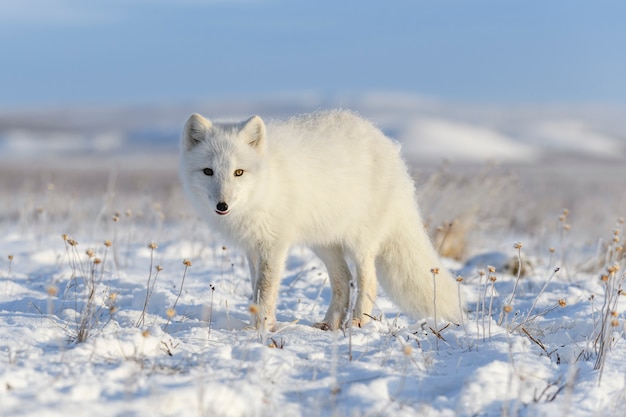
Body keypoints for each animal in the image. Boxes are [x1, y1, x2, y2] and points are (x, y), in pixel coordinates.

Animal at [178, 110, 460, 332]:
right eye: (208, 171)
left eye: (239, 172)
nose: (222, 206)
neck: (266, 183)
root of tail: (386, 144)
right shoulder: (252, 248)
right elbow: (255, 287)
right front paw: (257, 325)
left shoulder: (274, 245)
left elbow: (265, 289)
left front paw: (261, 329)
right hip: (324, 243)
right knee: (343, 280)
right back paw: (330, 324)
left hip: (359, 241)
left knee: (367, 280)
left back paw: (358, 322)